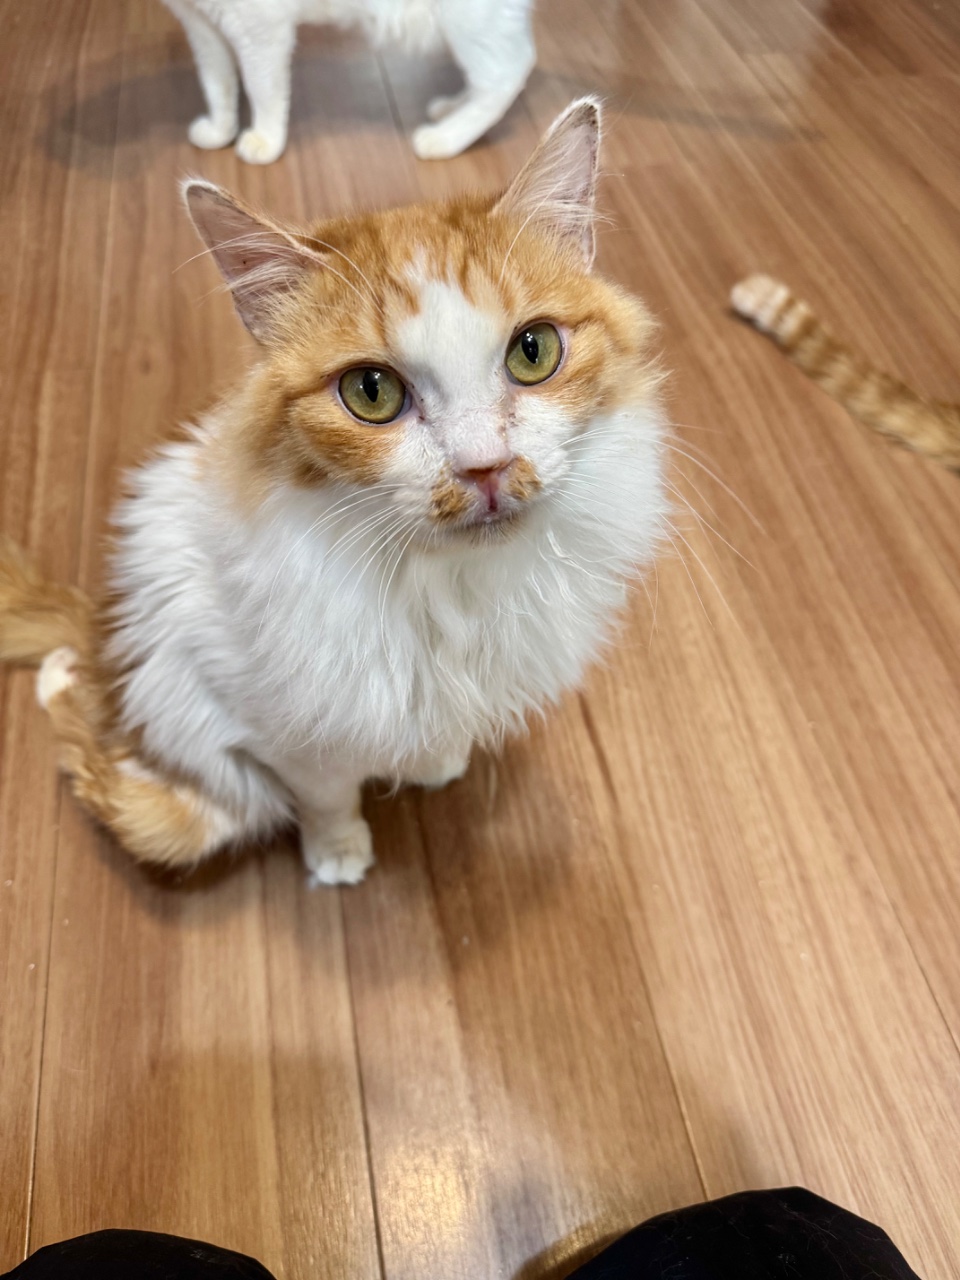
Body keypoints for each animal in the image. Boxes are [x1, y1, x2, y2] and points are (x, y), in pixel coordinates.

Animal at [0, 99, 670, 886]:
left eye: (533, 352)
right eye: (371, 392)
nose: (485, 467)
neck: (450, 586)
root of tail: (103, 627)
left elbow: (429, 732)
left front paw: (436, 762)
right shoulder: (282, 730)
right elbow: (326, 795)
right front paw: (339, 853)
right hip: (175, 800)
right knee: (97, 758)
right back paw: (61, 677)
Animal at [162, 0, 536, 163]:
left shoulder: (260, 28)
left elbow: (262, 90)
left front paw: (266, 141)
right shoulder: (200, 27)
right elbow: (216, 83)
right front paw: (219, 131)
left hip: (467, 21)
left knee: (510, 70)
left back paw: (445, 139)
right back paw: (451, 109)